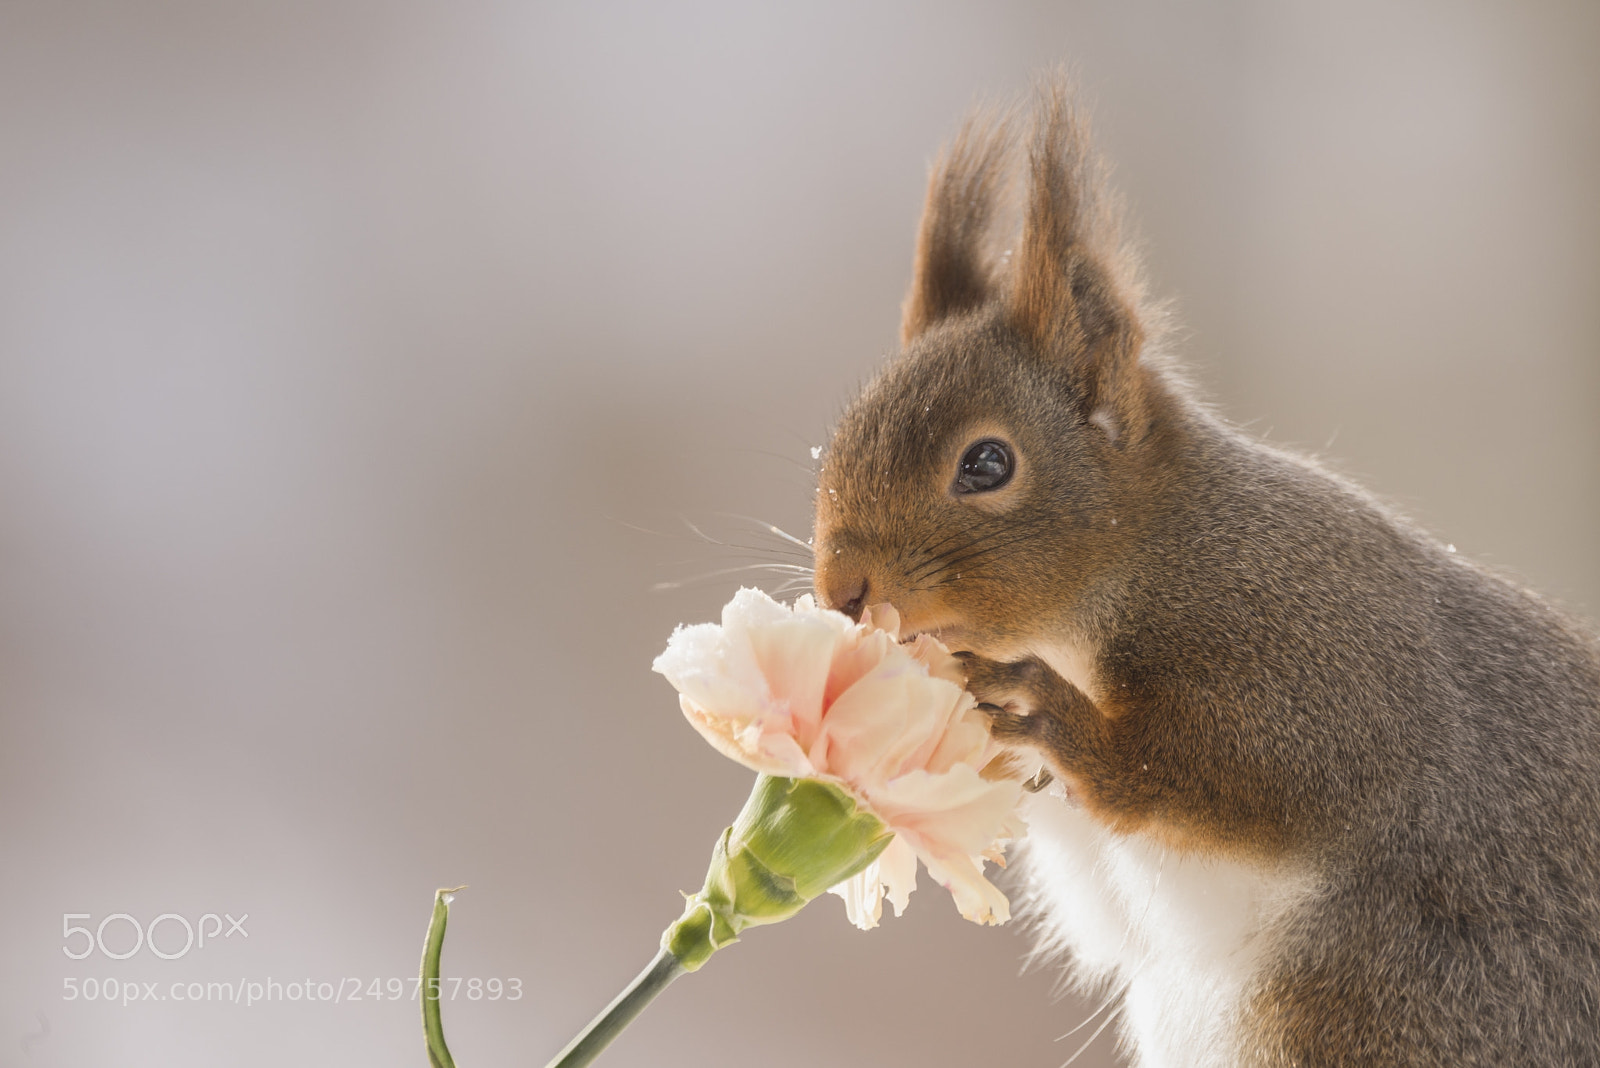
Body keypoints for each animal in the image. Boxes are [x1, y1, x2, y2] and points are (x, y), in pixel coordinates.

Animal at [810, 79, 1600, 1067]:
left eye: (987, 464)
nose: (840, 589)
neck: (1144, 557)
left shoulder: (1319, 661)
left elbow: (1234, 771)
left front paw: (1055, 716)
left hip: (1384, 1007)